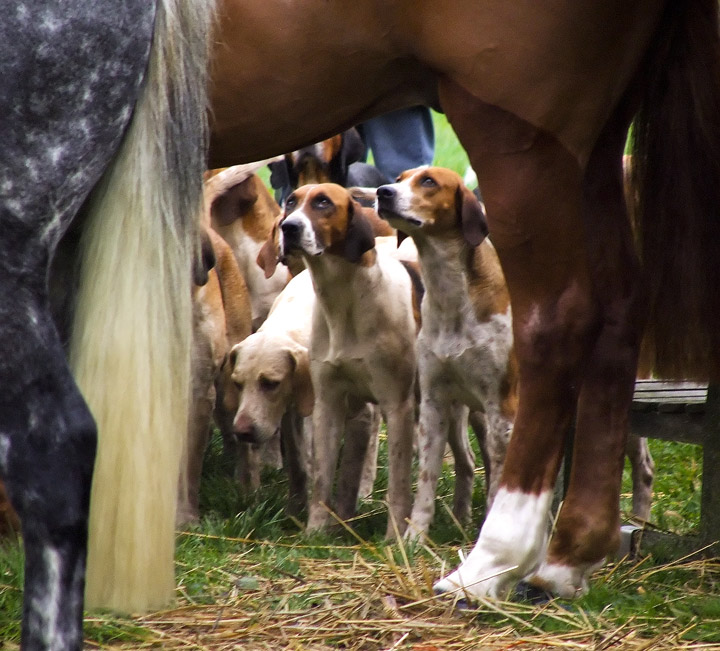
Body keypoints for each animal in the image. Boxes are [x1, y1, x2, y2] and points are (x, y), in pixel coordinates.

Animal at [5, 0, 720, 648]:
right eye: (295, 196)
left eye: (325, 202)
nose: (295, 227)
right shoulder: (338, 401)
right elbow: (333, 472)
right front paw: (327, 521)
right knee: (617, 312)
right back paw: (564, 558)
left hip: (521, 128)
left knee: (564, 325)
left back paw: (492, 560)